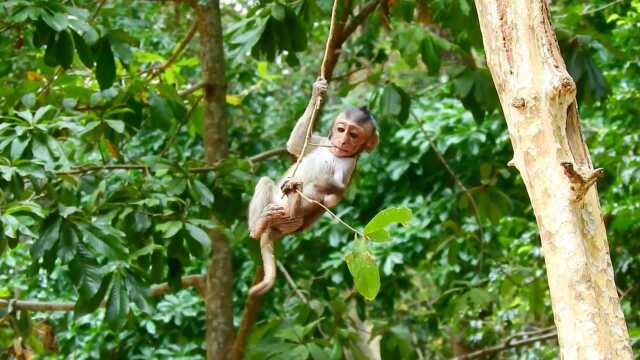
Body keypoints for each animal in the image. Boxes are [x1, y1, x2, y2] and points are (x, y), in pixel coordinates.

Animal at [248, 79, 378, 296]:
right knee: (265, 182)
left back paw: (293, 205)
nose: (343, 141)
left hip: (294, 223)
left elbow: (334, 196)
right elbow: (296, 144)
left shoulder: (349, 166)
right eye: (341, 130)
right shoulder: (324, 142)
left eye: (353, 135)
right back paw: (258, 226)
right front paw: (318, 91)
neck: (335, 153)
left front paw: (299, 186)